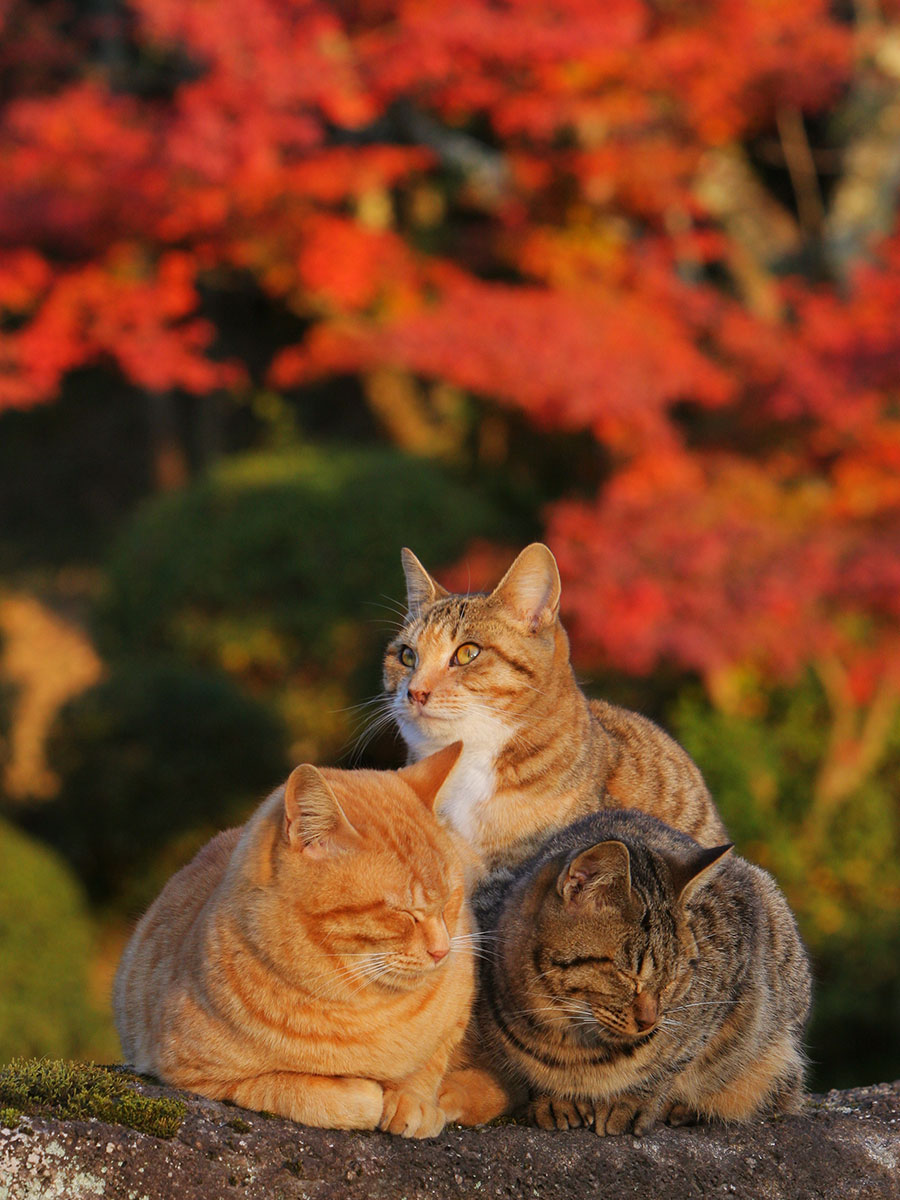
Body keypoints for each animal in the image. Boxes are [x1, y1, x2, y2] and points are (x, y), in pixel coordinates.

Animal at [115, 744, 475, 1137]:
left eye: (450, 900)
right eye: (403, 912)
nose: (441, 951)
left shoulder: (461, 997)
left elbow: (430, 1062)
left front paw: (413, 1099)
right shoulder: (194, 1074)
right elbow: (301, 1090)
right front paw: (367, 1094)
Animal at [441, 806, 816, 1132]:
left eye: (673, 979)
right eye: (628, 973)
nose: (649, 1021)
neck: (568, 1039)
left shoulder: (727, 977)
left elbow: (673, 1058)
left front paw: (632, 1102)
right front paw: (554, 1099)